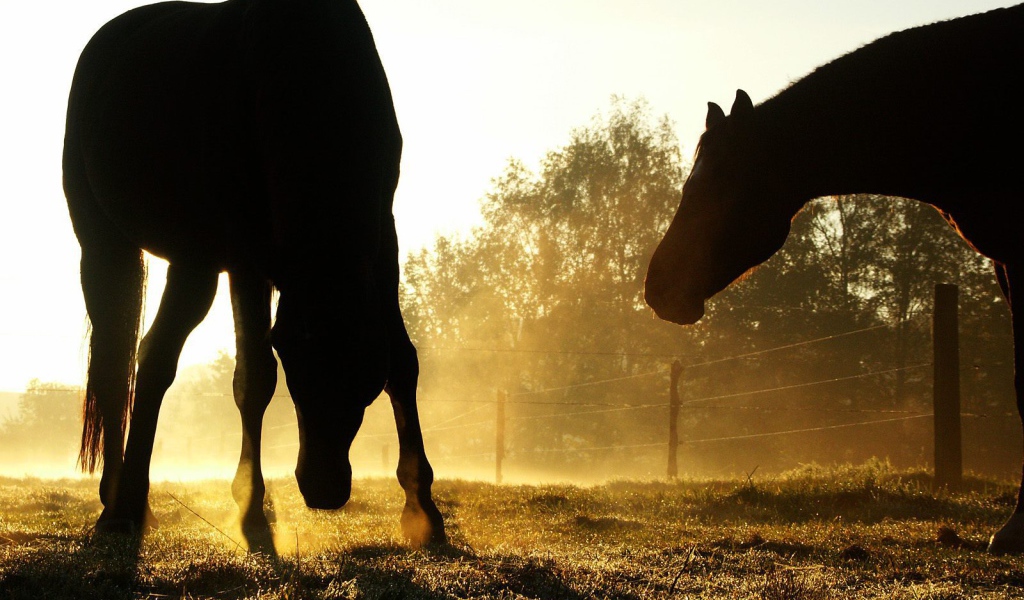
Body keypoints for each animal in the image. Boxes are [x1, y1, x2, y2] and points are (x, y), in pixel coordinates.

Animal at [63, 0, 445, 548]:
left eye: (362, 374)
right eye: (294, 358)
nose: (324, 488)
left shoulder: (382, 241)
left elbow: (403, 363)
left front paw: (422, 509)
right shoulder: (246, 258)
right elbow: (255, 377)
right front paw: (250, 508)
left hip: (191, 261)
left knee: (149, 355)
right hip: (110, 247)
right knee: (123, 363)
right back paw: (119, 506)